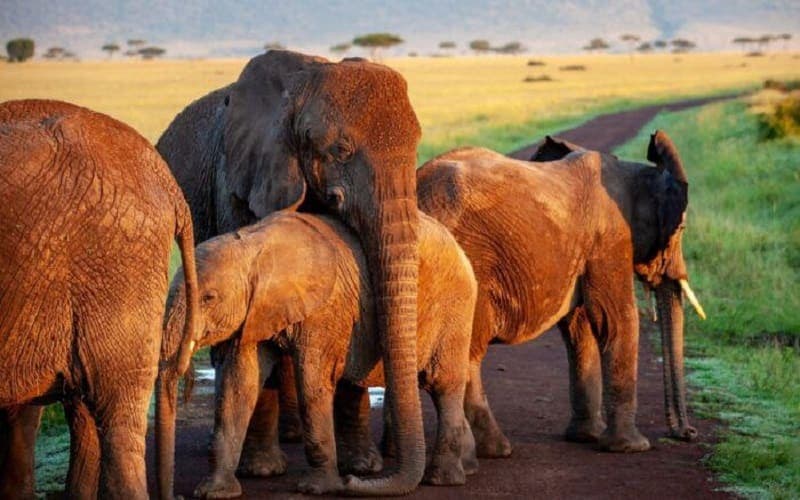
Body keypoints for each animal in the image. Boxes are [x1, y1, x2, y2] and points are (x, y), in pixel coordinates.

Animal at [156, 49, 427, 494]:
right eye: (340, 149)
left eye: (417, 149)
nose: (352, 482)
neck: (303, 85)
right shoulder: (238, 185)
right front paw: (263, 471)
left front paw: (362, 467)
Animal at [156, 210, 478, 497]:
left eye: (209, 298)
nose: (349, 483)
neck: (253, 245)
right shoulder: (254, 312)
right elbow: (238, 385)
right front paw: (214, 492)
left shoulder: (324, 311)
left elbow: (312, 382)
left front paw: (316, 488)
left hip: (455, 305)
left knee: (443, 383)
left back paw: (442, 479)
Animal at [410, 131, 705, 457]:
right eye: (682, 228)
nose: (688, 434)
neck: (634, 173)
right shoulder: (610, 240)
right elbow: (617, 319)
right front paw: (632, 447)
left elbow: (580, 327)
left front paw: (587, 437)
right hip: (470, 264)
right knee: (465, 352)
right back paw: (495, 449)